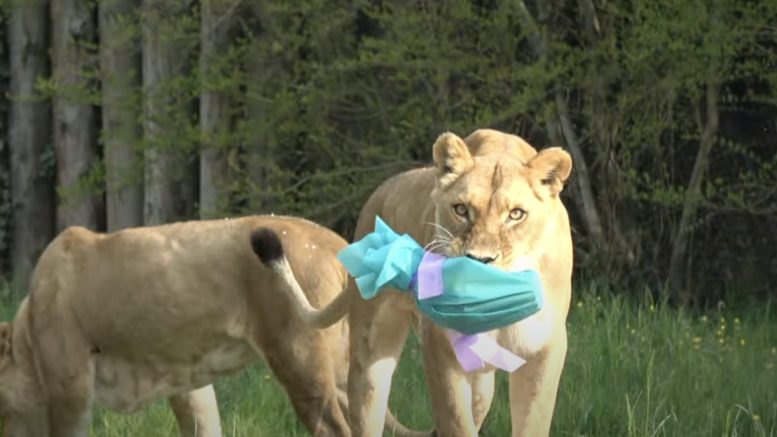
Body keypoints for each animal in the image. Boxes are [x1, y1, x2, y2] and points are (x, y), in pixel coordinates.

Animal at [0, 215, 424, 437]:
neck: (25, 345)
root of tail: (339, 245)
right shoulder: (188, 386)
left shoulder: (69, 392)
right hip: (346, 366)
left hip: (303, 368)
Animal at [254, 129, 574, 437]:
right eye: (461, 209)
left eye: (516, 214)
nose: (479, 260)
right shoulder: (441, 347)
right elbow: (456, 423)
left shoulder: (544, 349)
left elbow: (533, 421)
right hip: (371, 357)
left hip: (482, 380)